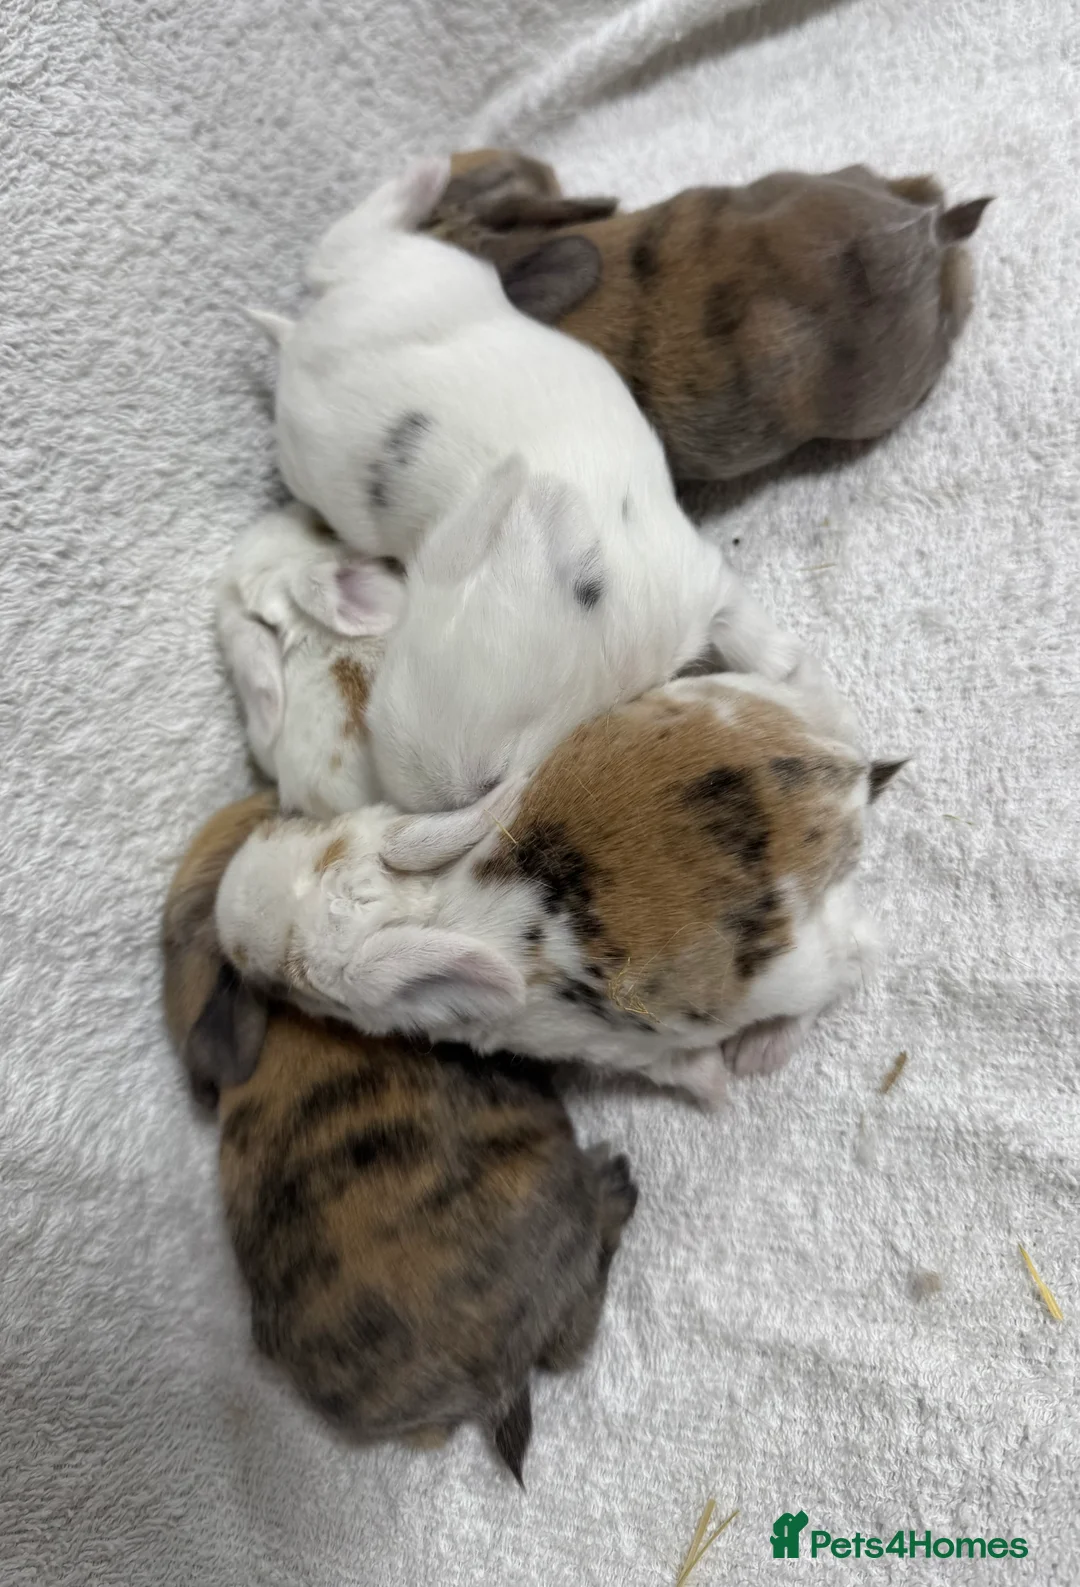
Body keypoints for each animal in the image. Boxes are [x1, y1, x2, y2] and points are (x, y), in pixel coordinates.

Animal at [162, 791, 638, 1485]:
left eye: (282, 819)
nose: (261, 800)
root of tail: (492, 1376)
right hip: (561, 1208)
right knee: (583, 1309)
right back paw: (617, 1177)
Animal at [213, 672, 905, 1108]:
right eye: (315, 832)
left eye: (290, 986)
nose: (224, 911)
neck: (430, 905)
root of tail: (843, 781)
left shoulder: (616, 1047)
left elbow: (677, 1066)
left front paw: (713, 1087)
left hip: (796, 969)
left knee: (861, 956)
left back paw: (757, 1054)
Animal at [245, 157, 815, 823]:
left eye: (495, 775)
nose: (447, 797)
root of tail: (296, 345)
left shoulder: (691, 580)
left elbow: (738, 619)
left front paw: (785, 665)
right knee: (334, 249)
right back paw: (424, 179)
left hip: (419, 274)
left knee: (337, 249)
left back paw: (424, 178)